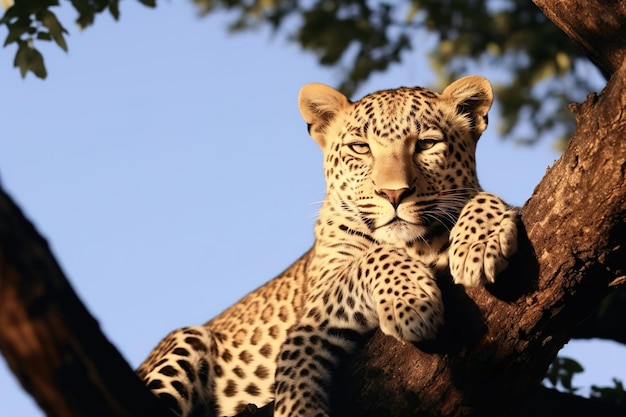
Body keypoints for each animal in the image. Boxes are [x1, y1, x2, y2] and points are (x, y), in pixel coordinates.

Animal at [135, 75, 516, 416]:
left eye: (426, 144)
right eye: (361, 148)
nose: (393, 194)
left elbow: (481, 197)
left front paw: (479, 242)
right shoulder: (324, 287)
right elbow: (374, 256)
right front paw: (412, 302)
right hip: (185, 339)